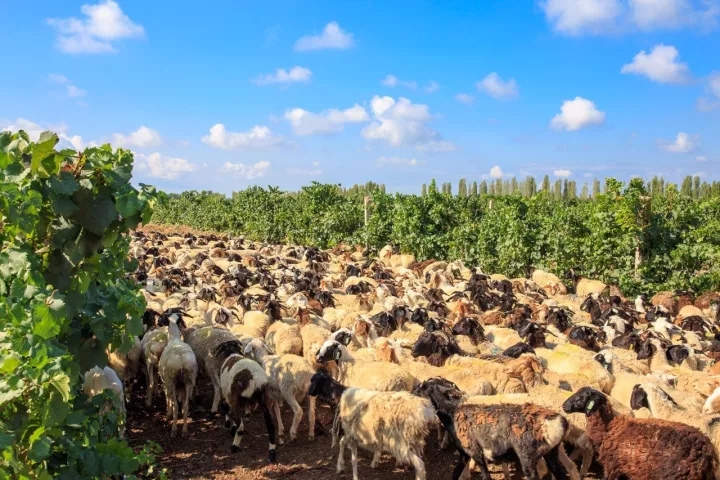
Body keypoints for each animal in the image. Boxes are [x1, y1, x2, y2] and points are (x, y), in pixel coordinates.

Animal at [308, 370, 436, 478]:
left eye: (314, 380)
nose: (309, 393)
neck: (340, 394)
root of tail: (426, 412)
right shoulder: (363, 432)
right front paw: (375, 461)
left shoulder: (350, 431)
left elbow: (344, 445)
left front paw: (340, 466)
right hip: (414, 440)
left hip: (401, 441)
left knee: (420, 465)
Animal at [414, 378, 572, 480]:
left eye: (420, 390)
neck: (452, 412)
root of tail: (558, 421)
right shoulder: (464, 454)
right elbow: (456, 473)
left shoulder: (475, 452)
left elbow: (486, 476)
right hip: (551, 452)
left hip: (527, 456)